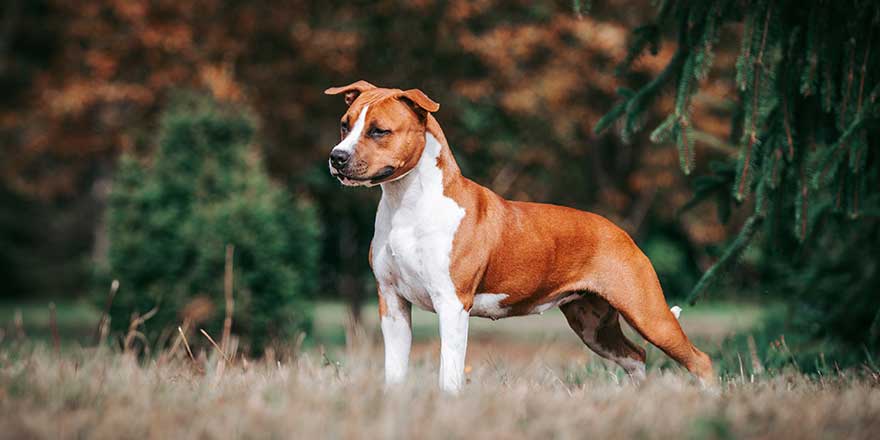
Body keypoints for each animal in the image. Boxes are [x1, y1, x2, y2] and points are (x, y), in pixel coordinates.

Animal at [324, 81, 716, 394]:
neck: (406, 202)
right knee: (635, 356)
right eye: (345, 125)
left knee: (699, 359)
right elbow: (395, 368)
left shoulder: (451, 304)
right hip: (592, 324)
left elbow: (449, 372)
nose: (336, 157)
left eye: (379, 131)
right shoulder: (392, 302)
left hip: (648, 314)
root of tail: (620, 232)